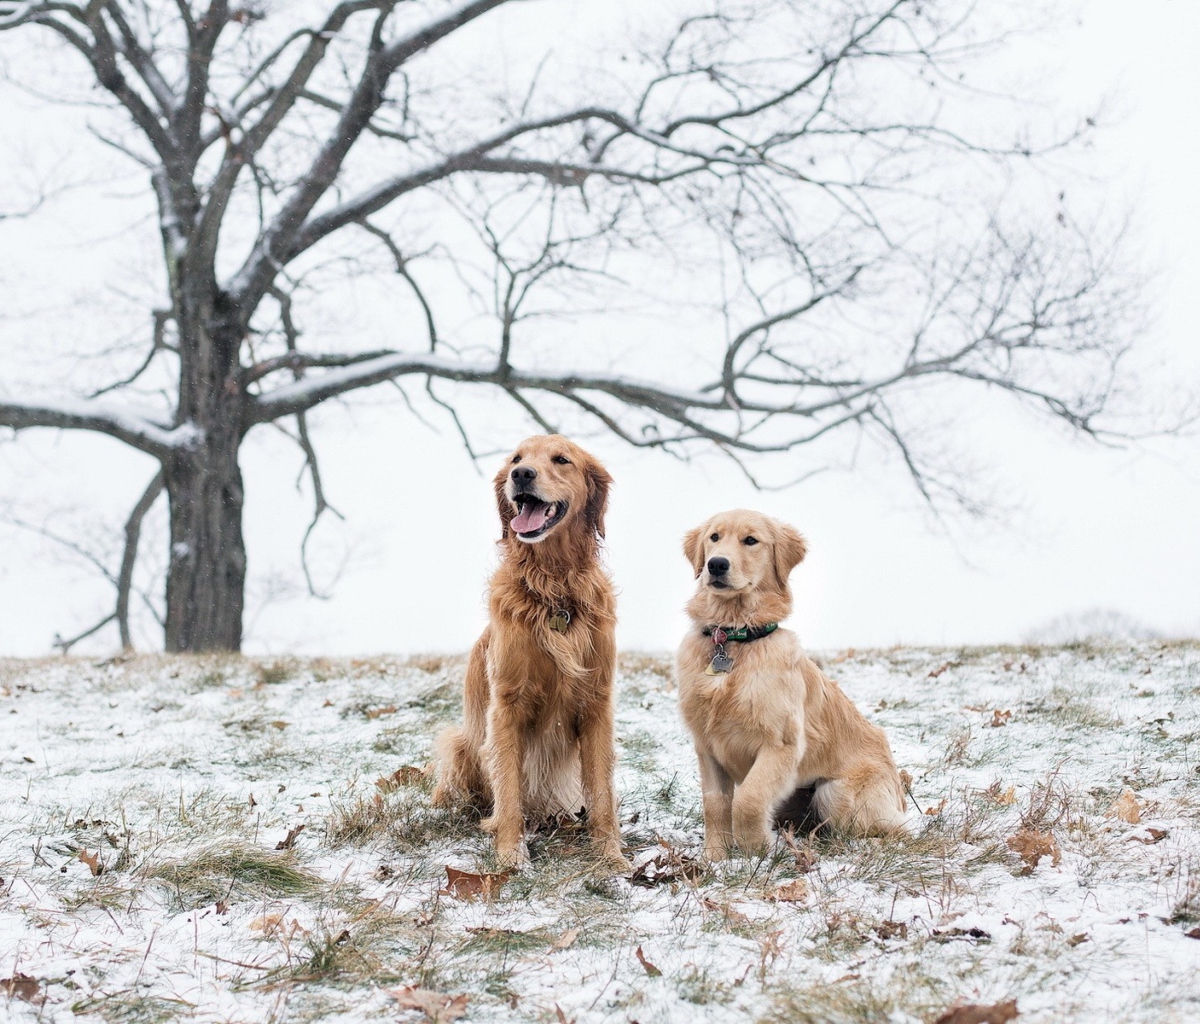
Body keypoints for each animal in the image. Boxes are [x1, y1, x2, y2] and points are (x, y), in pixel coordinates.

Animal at [429, 434, 628, 869]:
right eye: (516, 459)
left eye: (562, 459)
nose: (521, 474)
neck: (554, 589)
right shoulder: (506, 706)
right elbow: (508, 793)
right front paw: (510, 855)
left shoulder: (597, 703)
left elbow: (602, 793)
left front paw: (611, 855)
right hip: (459, 743)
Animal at [681, 508, 902, 854]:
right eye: (714, 537)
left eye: (751, 540)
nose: (716, 564)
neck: (734, 638)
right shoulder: (707, 745)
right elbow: (715, 804)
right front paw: (715, 857)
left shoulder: (781, 744)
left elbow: (748, 799)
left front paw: (755, 852)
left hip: (834, 793)